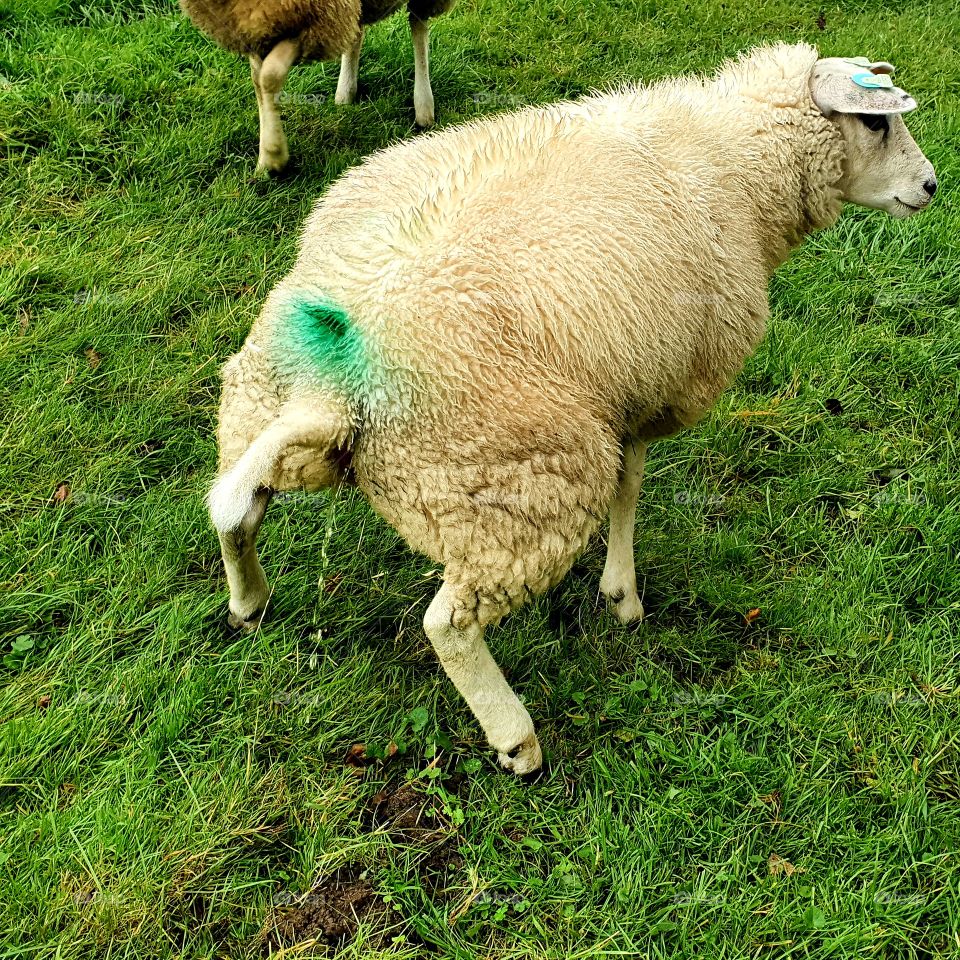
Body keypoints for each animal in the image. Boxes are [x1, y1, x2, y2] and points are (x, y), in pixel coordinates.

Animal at [179, 0, 455, 172]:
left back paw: (424, 108)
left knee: (418, 25)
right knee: (356, 30)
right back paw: (345, 92)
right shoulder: (255, 27)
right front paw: (265, 159)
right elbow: (259, 80)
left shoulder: (312, 22)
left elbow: (269, 76)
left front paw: (275, 156)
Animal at [207, 43, 936, 775]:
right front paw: (622, 593)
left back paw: (248, 602)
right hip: (522, 489)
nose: (931, 186)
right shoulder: (648, 390)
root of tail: (332, 385)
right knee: (450, 623)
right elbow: (629, 485)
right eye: (876, 123)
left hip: (260, 411)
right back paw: (515, 738)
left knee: (234, 515)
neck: (740, 160)